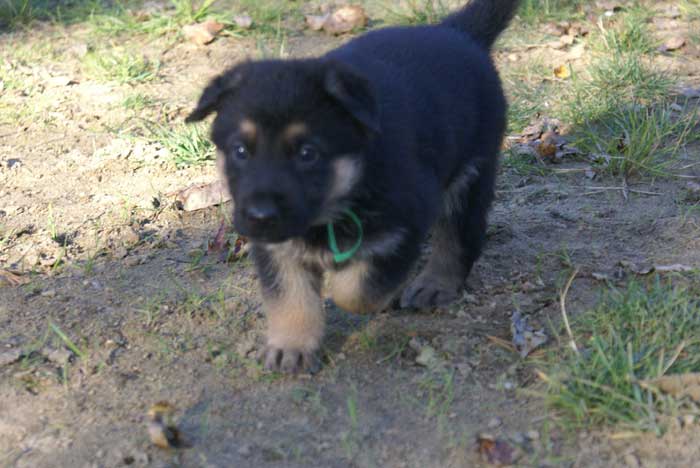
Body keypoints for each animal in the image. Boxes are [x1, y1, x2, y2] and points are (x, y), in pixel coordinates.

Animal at [186, 0, 520, 372]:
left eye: (308, 153)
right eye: (240, 151)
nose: (259, 216)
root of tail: (457, 33)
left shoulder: (406, 223)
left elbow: (356, 288)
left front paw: (372, 289)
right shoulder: (277, 247)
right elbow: (289, 296)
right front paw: (292, 345)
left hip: (472, 172)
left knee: (458, 238)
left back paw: (435, 283)